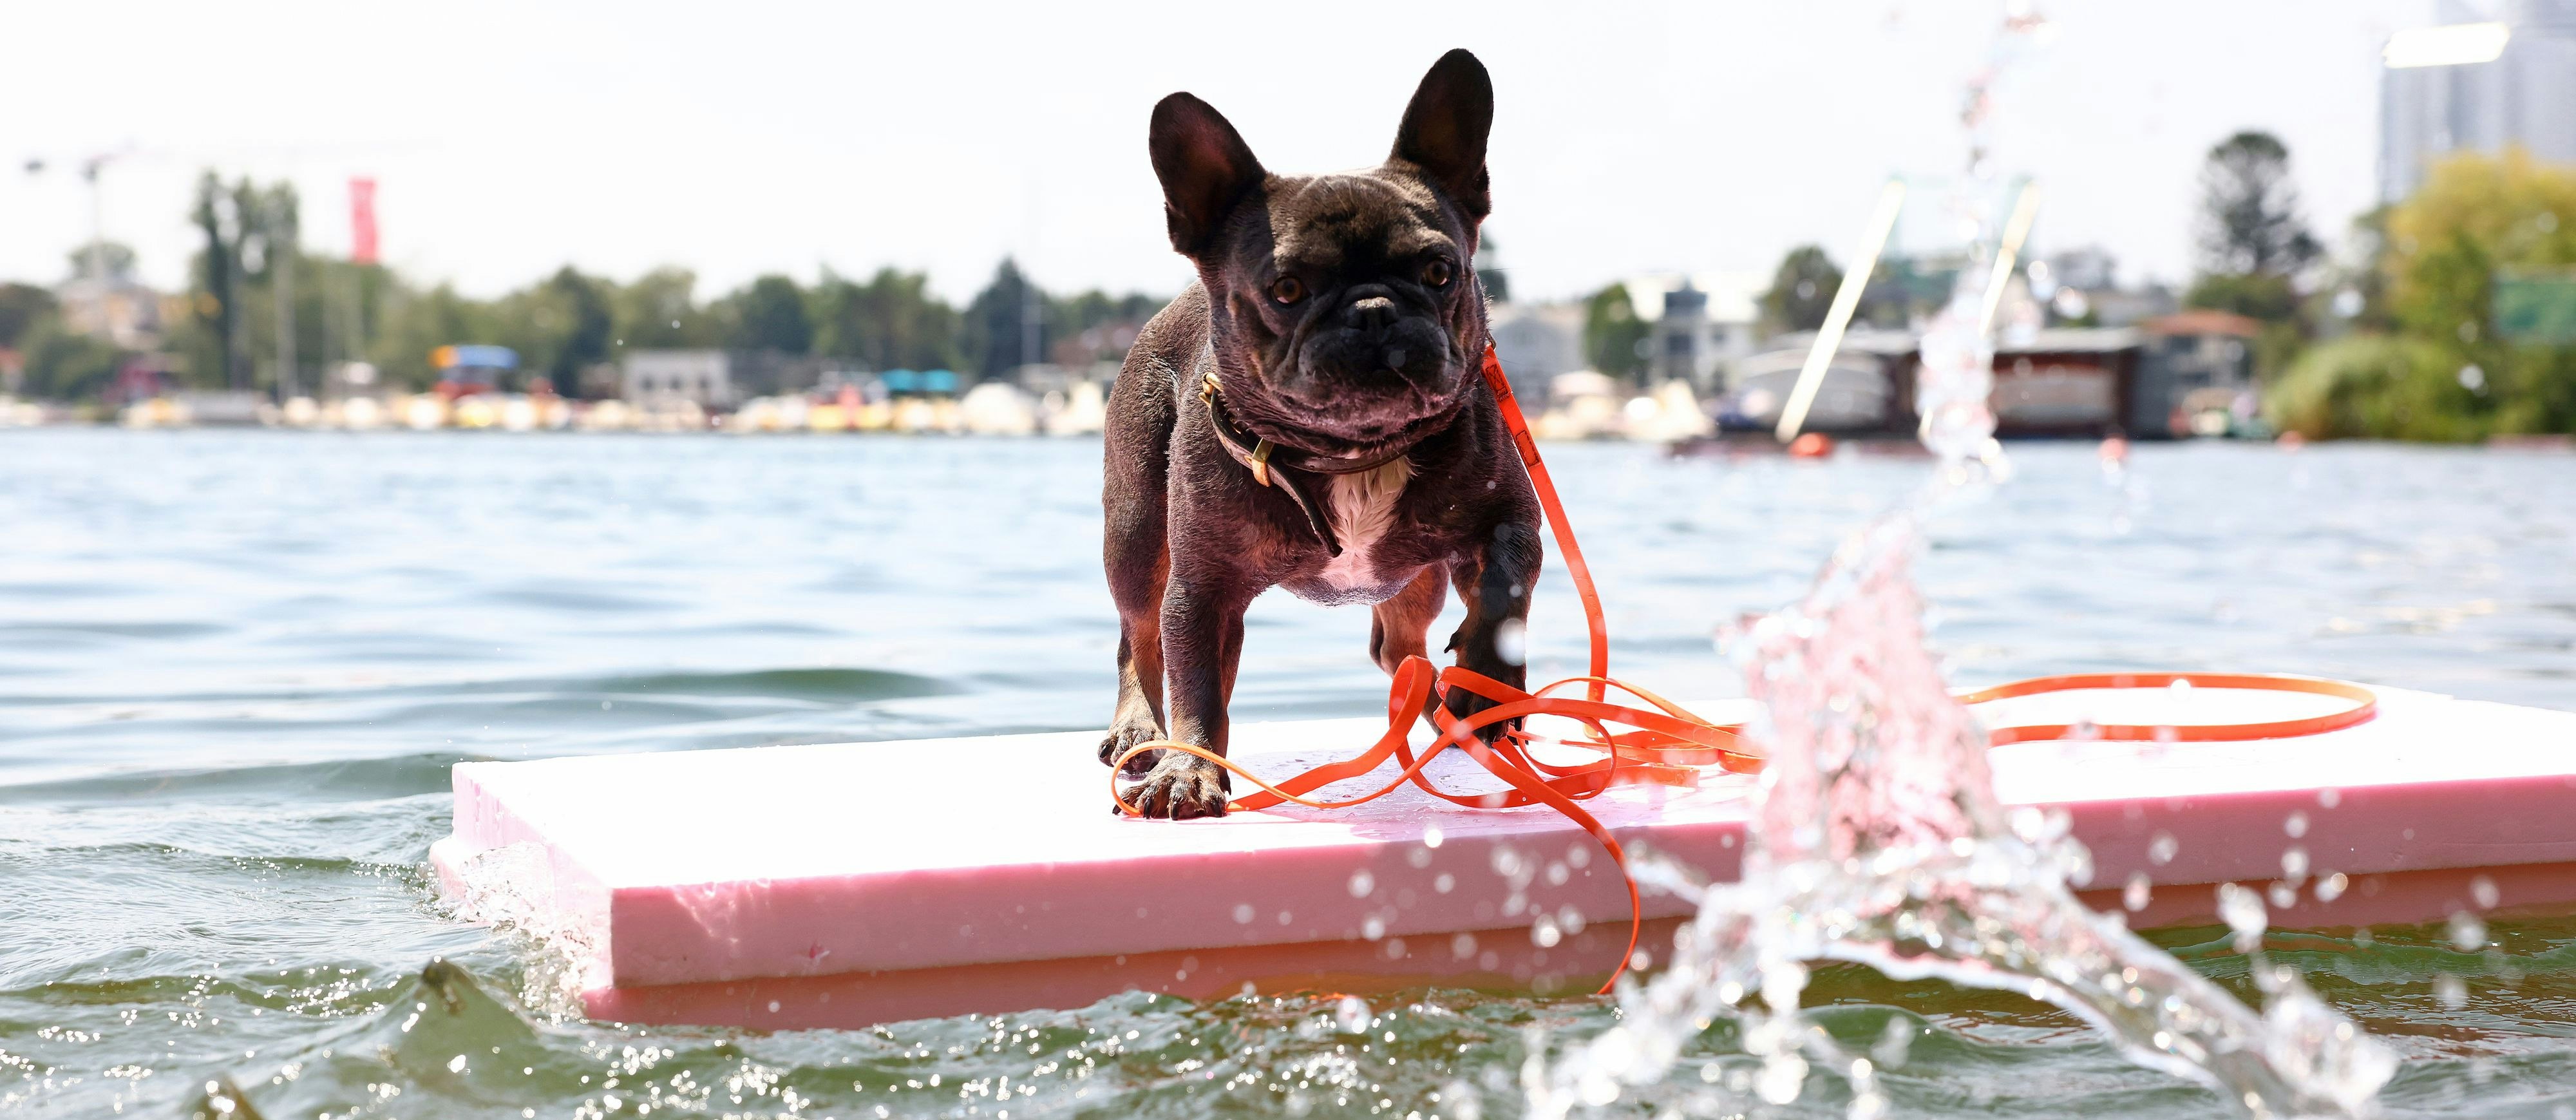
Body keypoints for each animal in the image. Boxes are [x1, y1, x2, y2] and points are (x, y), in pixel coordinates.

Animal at [1097, 52, 1535, 819]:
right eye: (1287, 290)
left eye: (1439, 271)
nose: (1374, 311)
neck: (1351, 455)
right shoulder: (1201, 588)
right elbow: (1196, 686)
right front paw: (1189, 770)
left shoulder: (1511, 515)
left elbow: (1504, 589)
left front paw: (1485, 685)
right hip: (1136, 532)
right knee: (1138, 634)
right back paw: (1138, 731)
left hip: (1414, 580)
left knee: (1400, 651)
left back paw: (1444, 713)